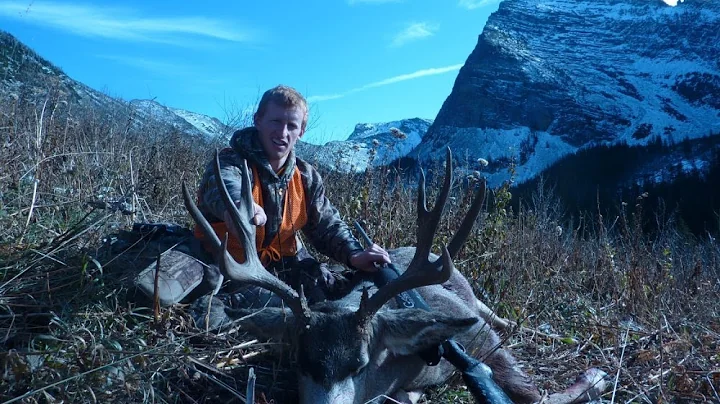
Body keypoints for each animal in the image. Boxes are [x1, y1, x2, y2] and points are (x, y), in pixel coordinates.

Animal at [182, 148, 608, 404]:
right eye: (302, 362)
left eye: (360, 364)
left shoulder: (483, 340)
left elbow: (540, 395)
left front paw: (596, 376)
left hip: (479, 304)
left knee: (505, 320)